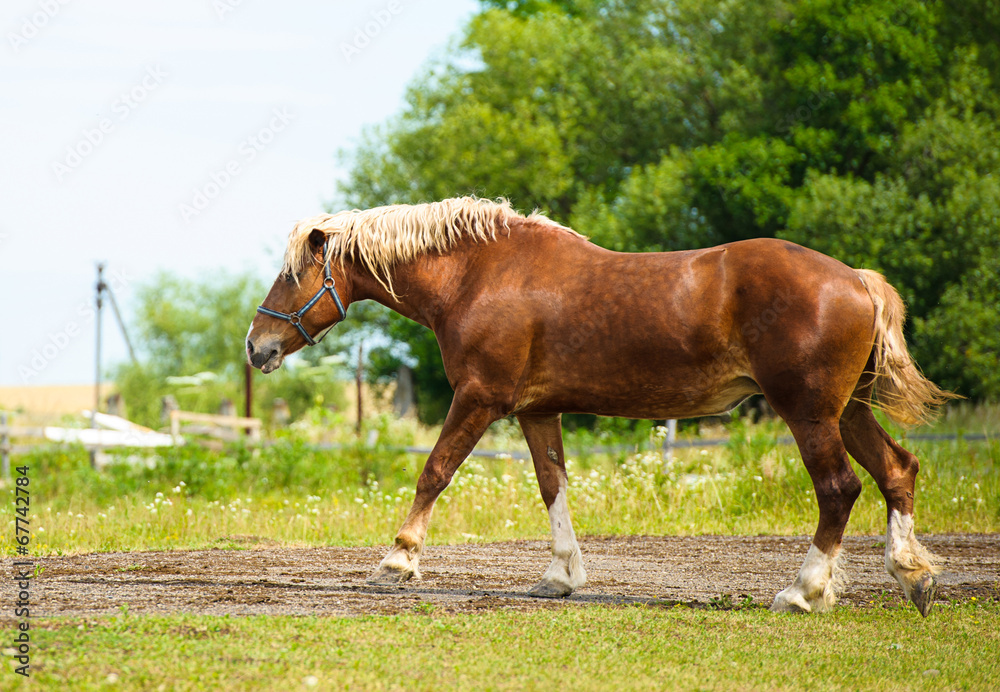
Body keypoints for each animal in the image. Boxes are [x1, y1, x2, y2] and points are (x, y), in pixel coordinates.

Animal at [246, 196, 954, 616]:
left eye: (292, 274)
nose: (256, 346)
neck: (478, 274)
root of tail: (855, 278)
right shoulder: (536, 411)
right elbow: (552, 486)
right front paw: (561, 576)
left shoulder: (478, 399)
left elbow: (434, 472)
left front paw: (396, 562)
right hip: (847, 410)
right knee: (897, 471)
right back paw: (912, 577)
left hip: (808, 412)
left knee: (839, 488)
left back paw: (802, 592)